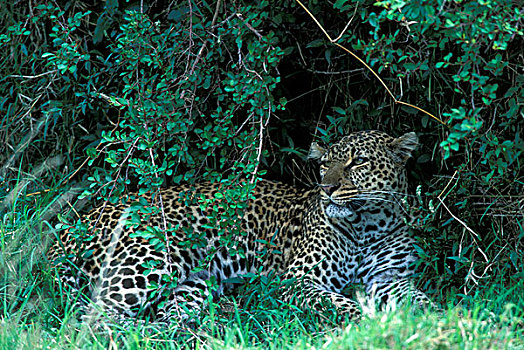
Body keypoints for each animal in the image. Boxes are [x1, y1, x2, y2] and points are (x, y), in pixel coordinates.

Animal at [49, 131, 432, 322]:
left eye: (359, 162)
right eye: (325, 164)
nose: (326, 188)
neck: (367, 224)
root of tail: (71, 226)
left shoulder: (391, 278)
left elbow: (419, 299)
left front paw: (434, 318)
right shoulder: (299, 280)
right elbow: (341, 303)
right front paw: (375, 321)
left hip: (193, 284)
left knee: (168, 316)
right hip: (151, 259)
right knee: (96, 315)